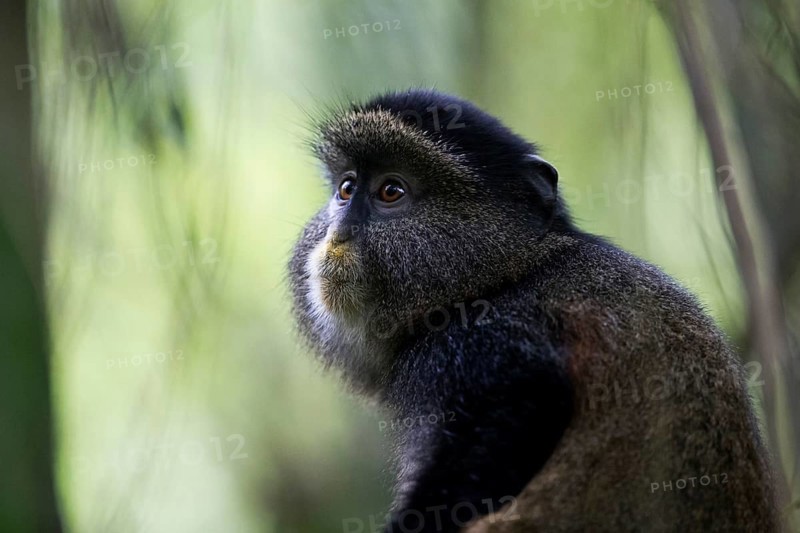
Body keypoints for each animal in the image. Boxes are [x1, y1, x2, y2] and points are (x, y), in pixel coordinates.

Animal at [288, 88, 779, 532]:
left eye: (391, 191)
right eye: (346, 188)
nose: (338, 234)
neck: (509, 274)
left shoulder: (477, 345)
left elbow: (521, 407)